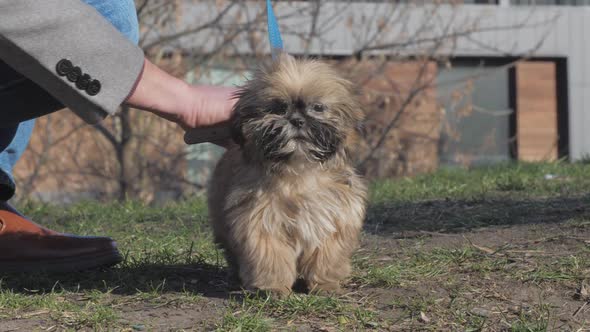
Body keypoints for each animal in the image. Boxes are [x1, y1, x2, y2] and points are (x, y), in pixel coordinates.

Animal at [207, 55, 366, 296]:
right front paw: (271, 287)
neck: (298, 171)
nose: (297, 120)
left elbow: (327, 254)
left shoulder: (333, 218)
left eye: (318, 107)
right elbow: (271, 255)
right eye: (278, 108)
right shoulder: (262, 222)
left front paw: (325, 285)